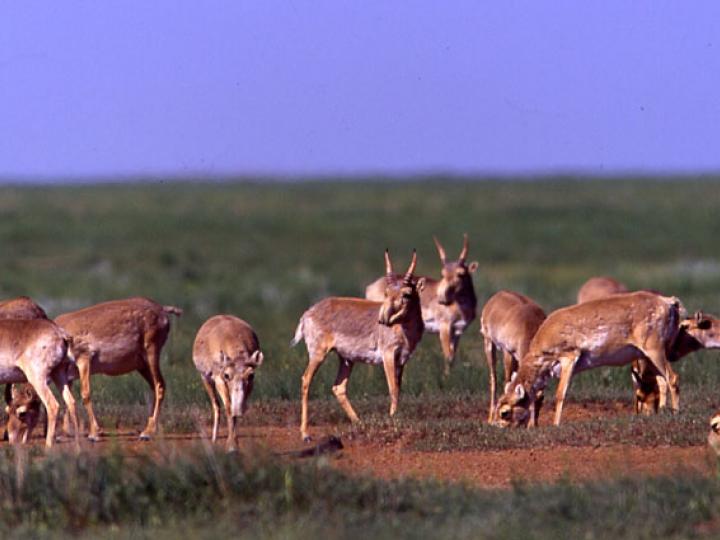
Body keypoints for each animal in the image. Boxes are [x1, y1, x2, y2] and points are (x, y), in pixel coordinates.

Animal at [294, 251, 424, 440]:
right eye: (386, 292)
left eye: (406, 294)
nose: (383, 319)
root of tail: (308, 313)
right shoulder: (388, 356)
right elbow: (392, 389)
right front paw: (393, 421)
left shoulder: (402, 360)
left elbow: (398, 389)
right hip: (319, 355)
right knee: (306, 379)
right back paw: (305, 434)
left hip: (346, 359)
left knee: (338, 387)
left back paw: (359, 423)